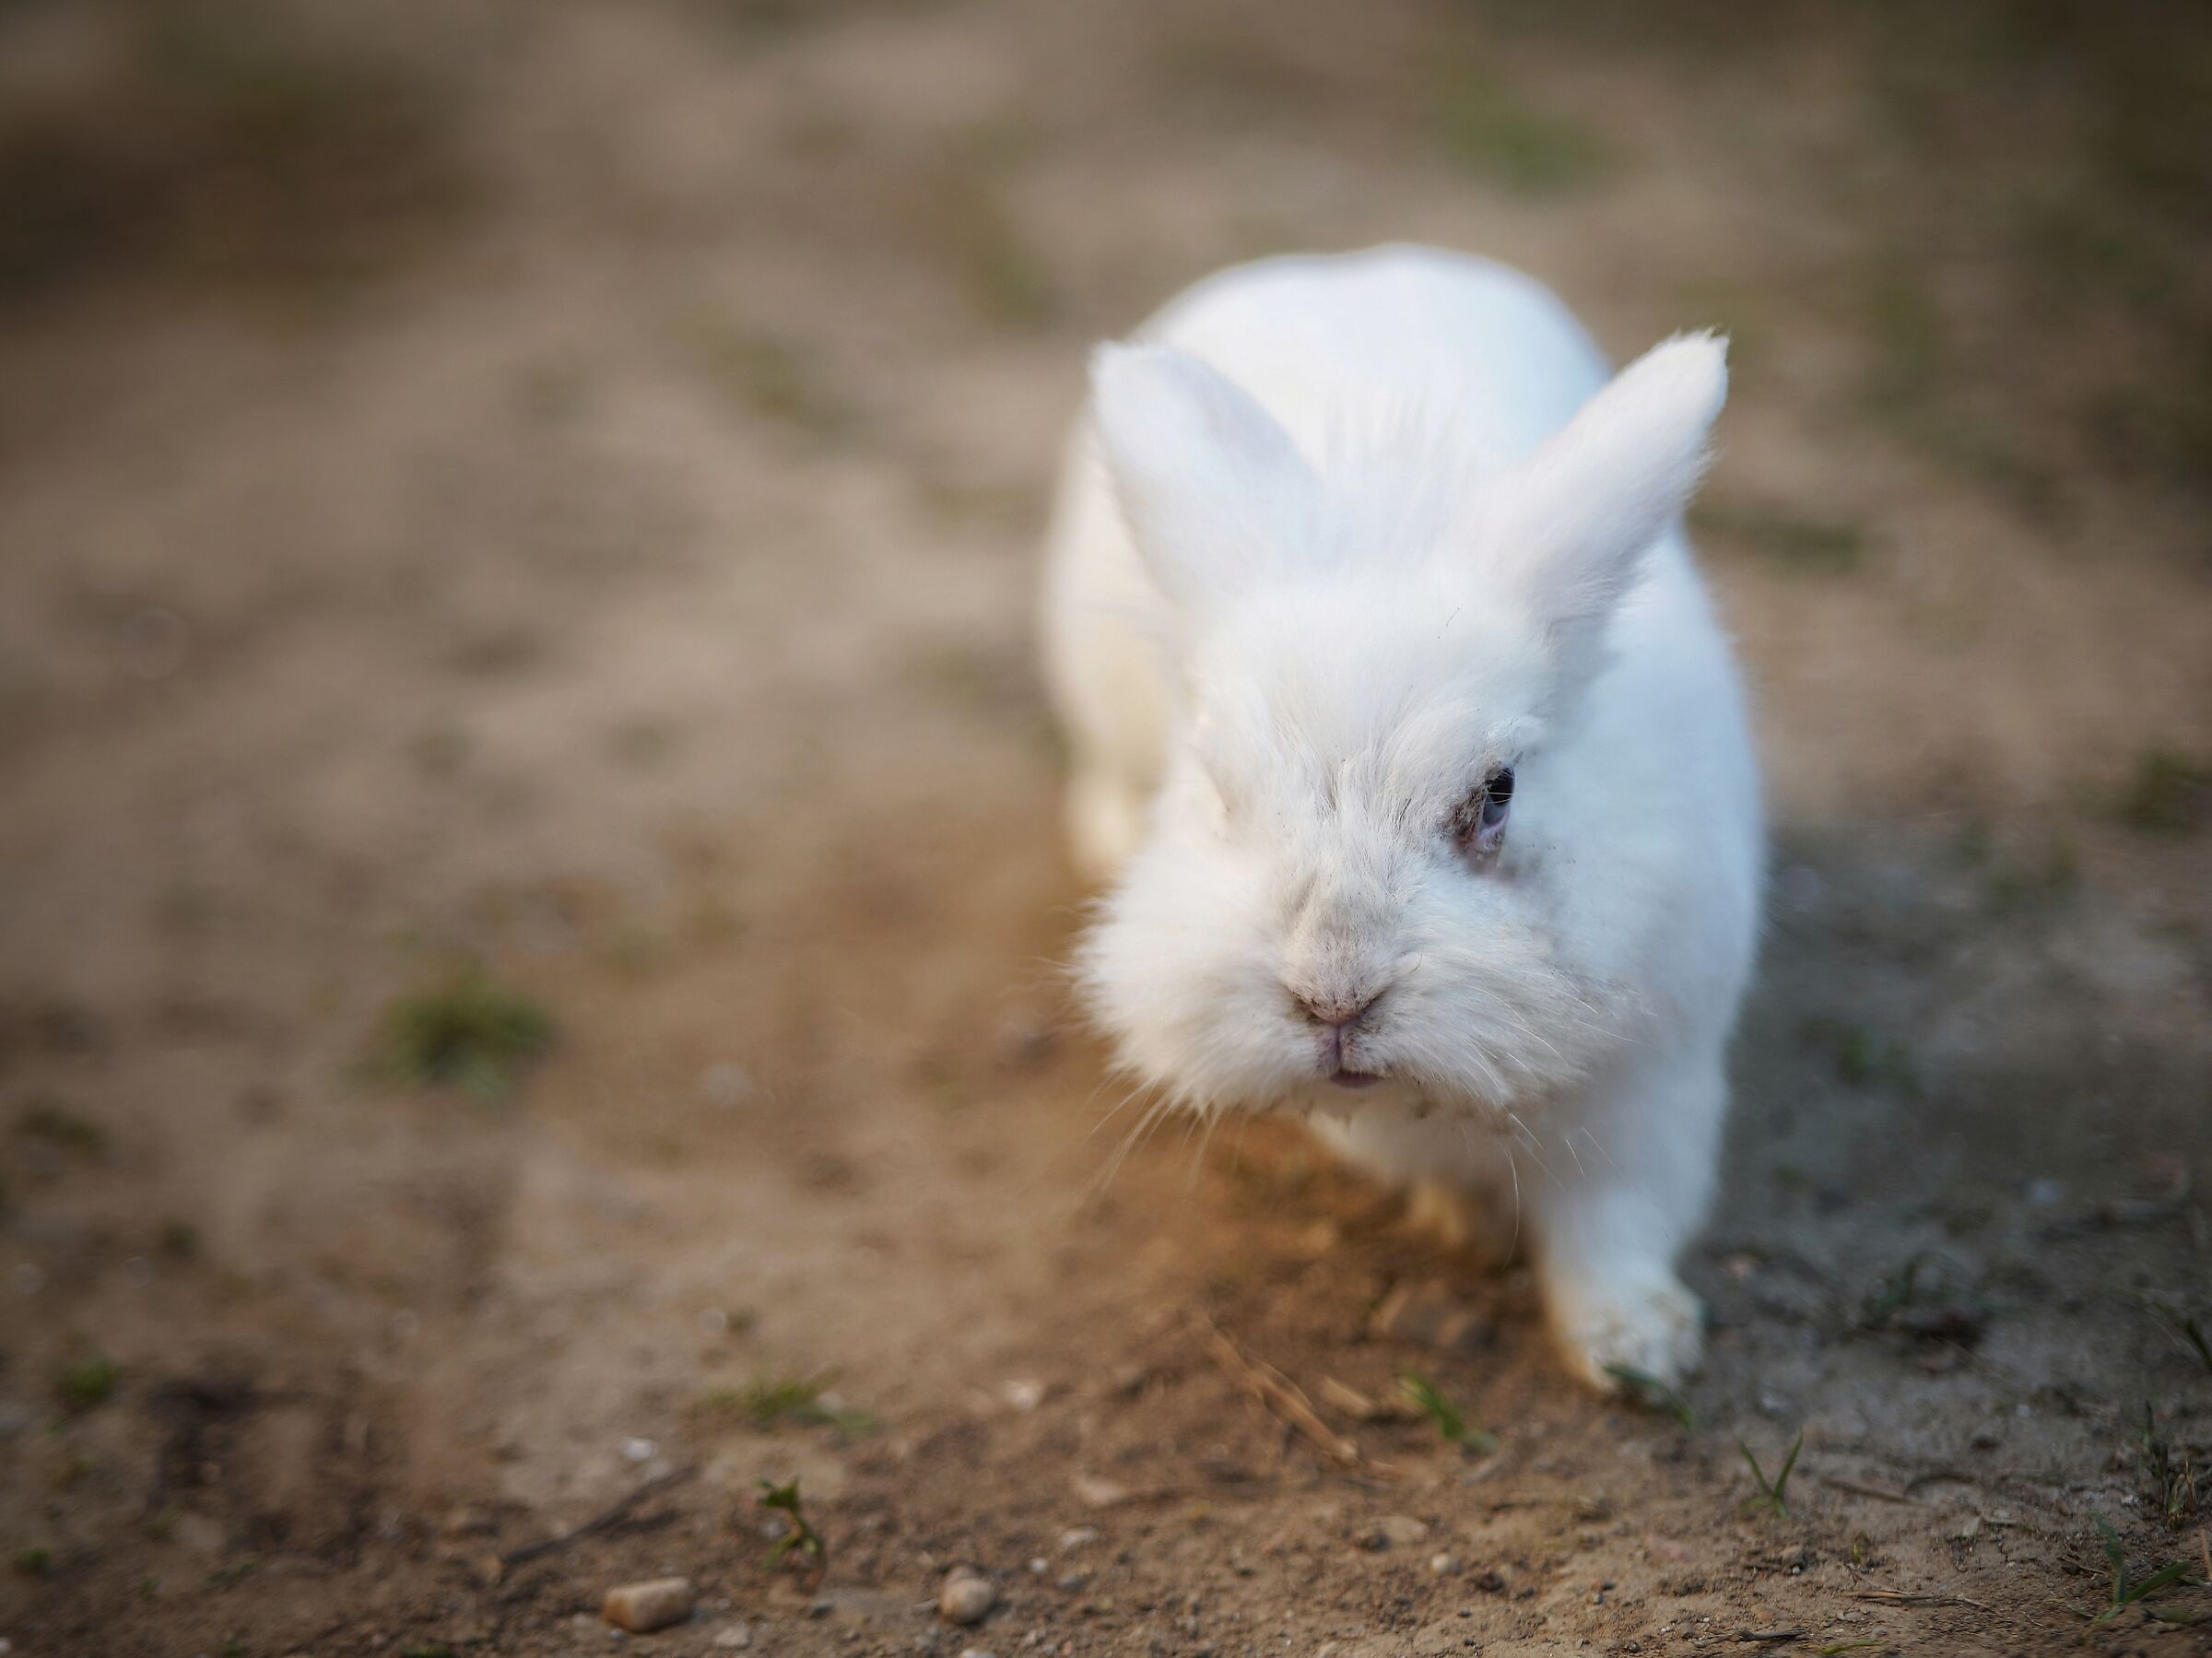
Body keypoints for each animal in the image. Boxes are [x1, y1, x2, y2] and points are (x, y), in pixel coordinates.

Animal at [1040, 245, 1763, 1392]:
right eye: (1218, 787)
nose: (1333, 996)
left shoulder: (1653, 1094)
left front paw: (1637, 1348)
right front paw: (1464, 1221)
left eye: (1498, 790)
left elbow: (1615, 1224)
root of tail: (1345, 266)